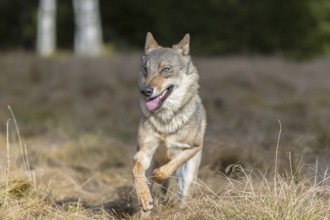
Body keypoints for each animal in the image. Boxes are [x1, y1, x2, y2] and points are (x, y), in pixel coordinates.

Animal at [132, 32, 206, 213]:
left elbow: (168, 168)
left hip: (188, 175)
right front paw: (144, 197)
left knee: (182, 198)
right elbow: (136, 170)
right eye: (146, 69)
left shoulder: (193, 147)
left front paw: (159, 175)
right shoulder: (144, 151)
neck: (165, 120)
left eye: (165, 69)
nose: (145, 91)